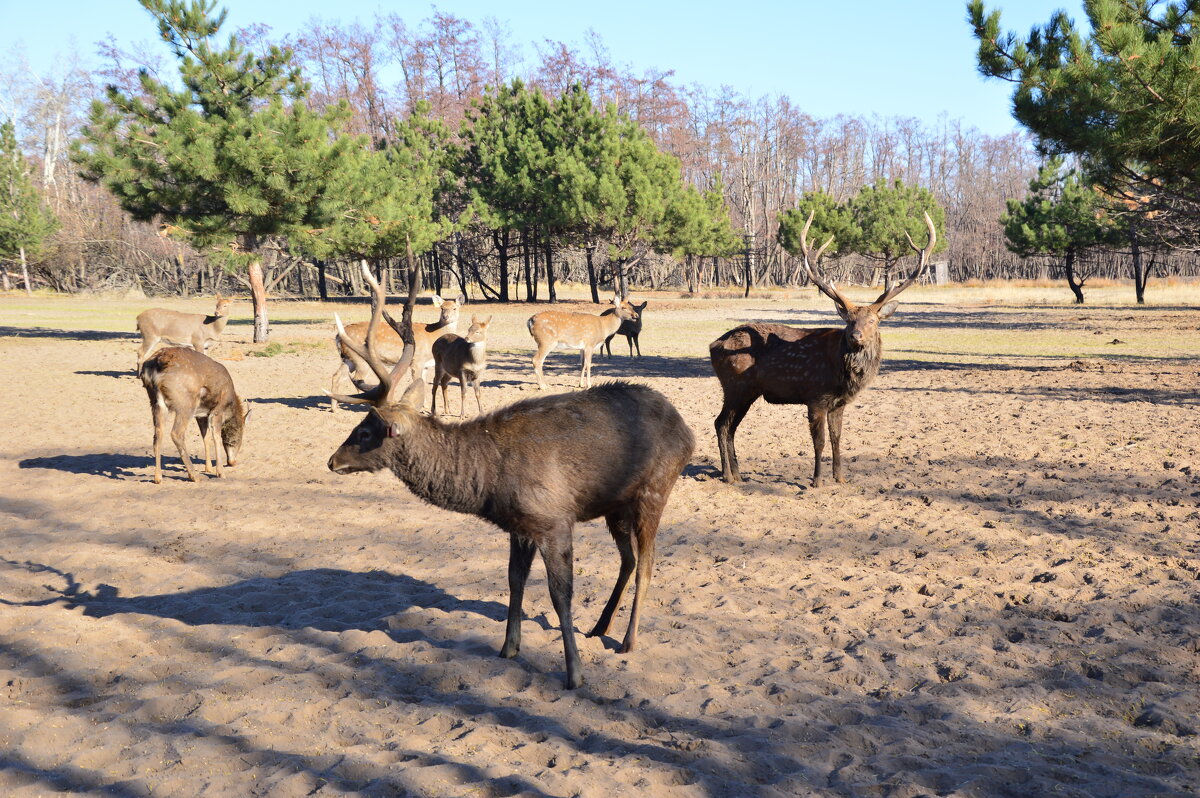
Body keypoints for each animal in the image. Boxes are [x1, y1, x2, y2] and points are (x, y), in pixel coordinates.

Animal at [139, 345, 249, 482]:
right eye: (239, 437)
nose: (232, 462)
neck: (230, 403)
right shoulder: (217, 410)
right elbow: (216, 437)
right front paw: (220, 473)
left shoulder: (201, 414)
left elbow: (205, 437)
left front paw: (208, 468)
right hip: (186, 403)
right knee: (176, 433)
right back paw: (193, 475)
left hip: (155, 402)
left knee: (157, 434)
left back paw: (158, 478)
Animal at [328, 289, 463, 410]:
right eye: (442, 308)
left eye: (454, 308)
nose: (445, 317)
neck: (433, 335)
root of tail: (338, 336)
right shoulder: (417, 360)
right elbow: (418, 381)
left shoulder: (426, 365)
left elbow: (424, 383)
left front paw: (424, 405)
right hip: (360, 359)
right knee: (357, 379)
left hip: (348, 358)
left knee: (336, 376)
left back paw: (334, 408)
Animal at [710, 208, 936, 484]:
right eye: (848, 320)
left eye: (872, 320)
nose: (856, 336)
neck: (842, 375)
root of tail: (713, 345)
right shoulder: (815, 396)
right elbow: (819, 442)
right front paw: (817, 480)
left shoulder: (838, 403)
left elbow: (837, 439)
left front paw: (840, 477)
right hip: (736, 385)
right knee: (721, 424)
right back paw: (727, 475)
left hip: (747, 391)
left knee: (730, 427)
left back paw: (738, 474)